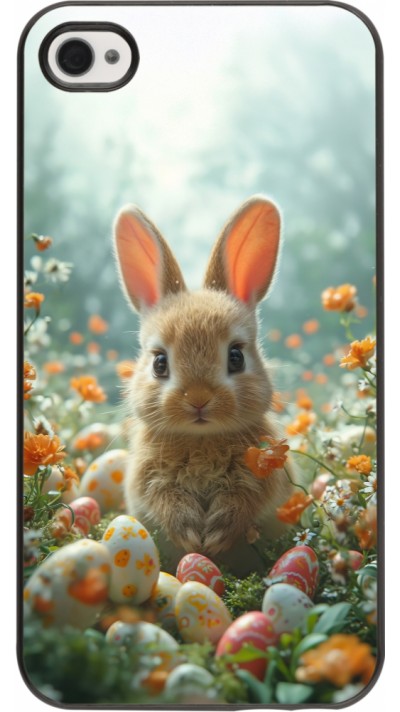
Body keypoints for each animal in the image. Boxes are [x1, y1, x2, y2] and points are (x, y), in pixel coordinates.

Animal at [113, 195, 293, 571]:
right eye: (159, 363)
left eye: (236, 357)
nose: (198, 399)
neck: (201, 439)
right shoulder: (148, 479)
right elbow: (165, 500)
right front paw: (191, 534)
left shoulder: (262, 476)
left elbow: (244, 501)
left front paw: (217, 535)